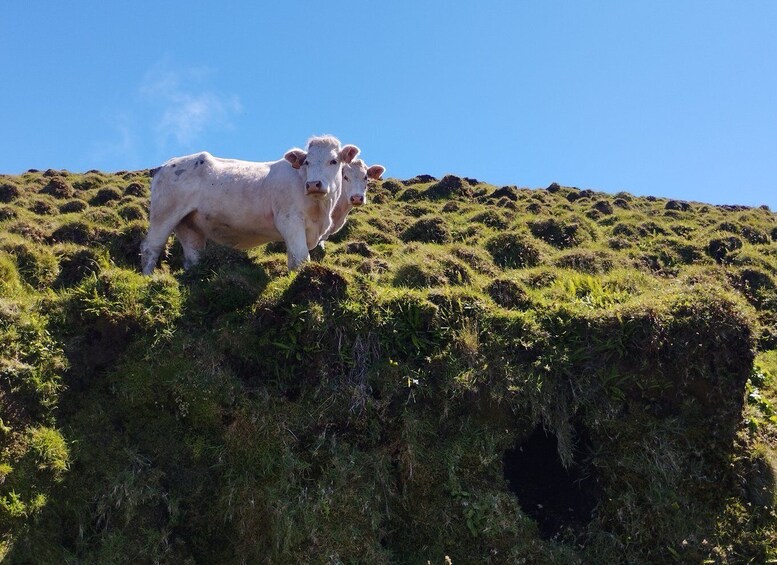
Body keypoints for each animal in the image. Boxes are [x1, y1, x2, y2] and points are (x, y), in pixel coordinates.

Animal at [140, 135, 359, 274]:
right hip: (163, 214)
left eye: (333, 161)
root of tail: (165, 165)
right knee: (151, 247)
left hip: (188, 225)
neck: (322, 214)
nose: (313, 184)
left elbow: (293, 259)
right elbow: (300, 258)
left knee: (193, 255)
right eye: (307, 162)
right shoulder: (290, 221)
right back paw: (147, 276)